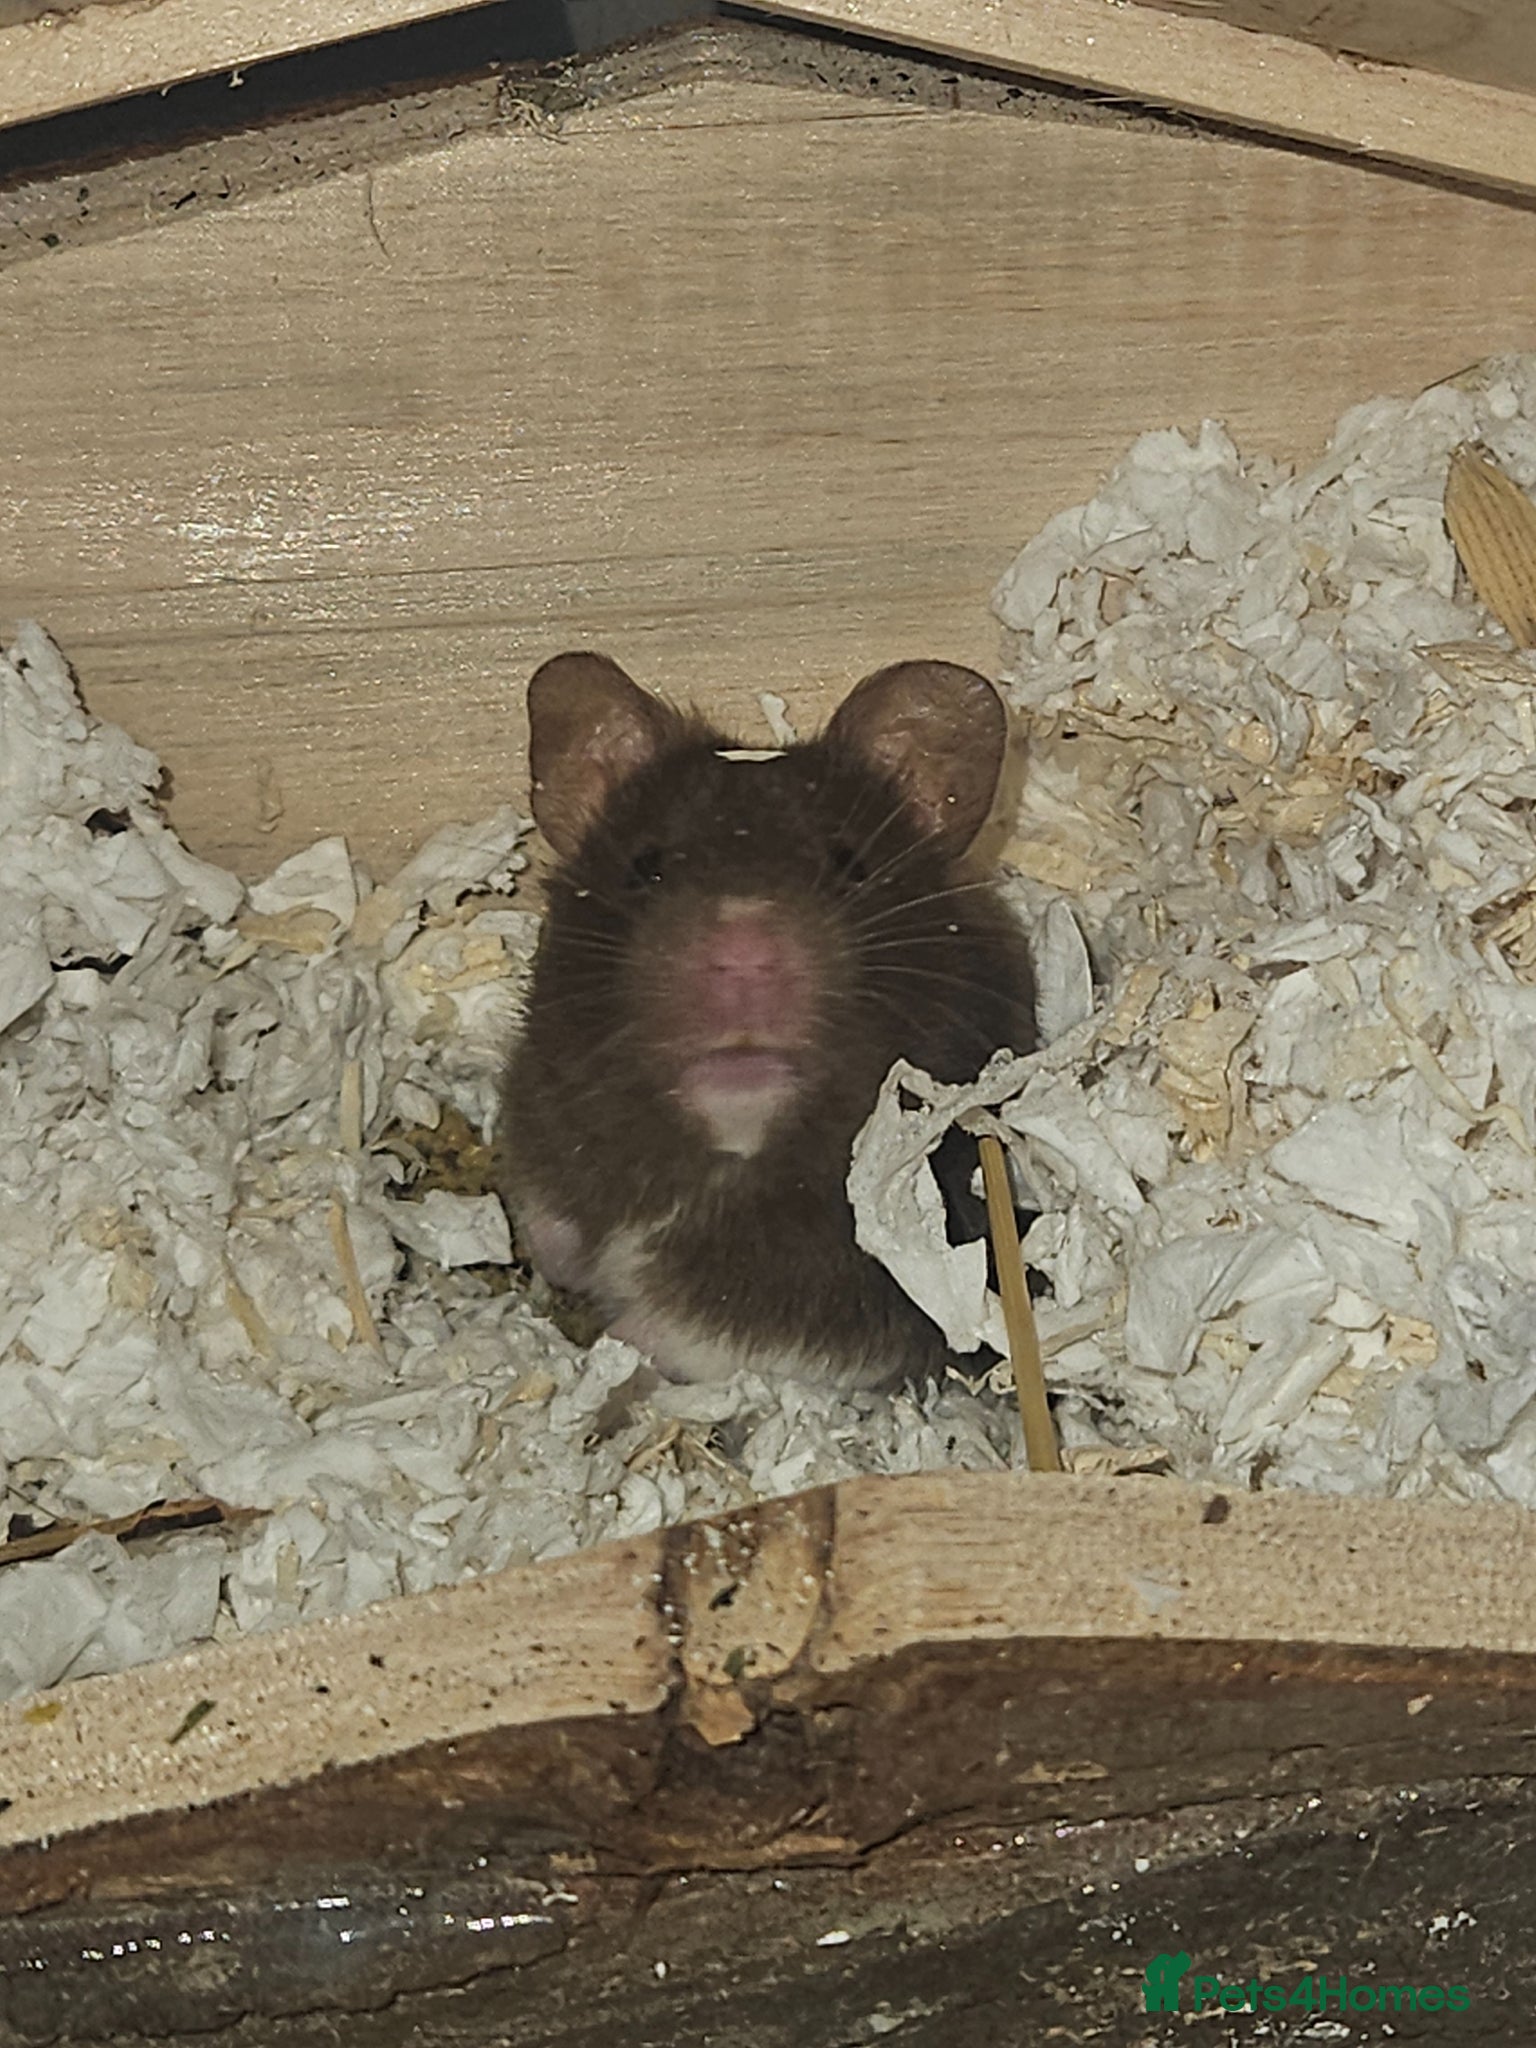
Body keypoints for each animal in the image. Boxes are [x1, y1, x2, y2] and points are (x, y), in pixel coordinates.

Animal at [498, 651, 1035, 1393]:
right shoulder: (546, 1105)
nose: (745, 949)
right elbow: (547, 1209)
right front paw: (562, 1267)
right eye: (645, 866)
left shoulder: (854, 1294)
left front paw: (612, 1347)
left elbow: (694, 1327)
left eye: (849, 863)